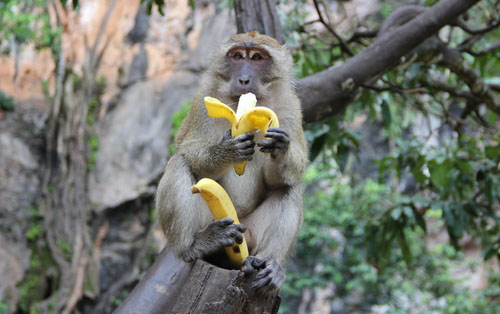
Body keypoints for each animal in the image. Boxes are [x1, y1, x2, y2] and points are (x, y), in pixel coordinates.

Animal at [156, 31, 306, 294]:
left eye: (257, 58)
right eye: (237, 56)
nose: (244, 79)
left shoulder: (290, 107)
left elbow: (283, 177)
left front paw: (282, 148)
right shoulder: (202, 99)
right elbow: (188, 149)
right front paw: (227, 150)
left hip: (252, 232)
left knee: (289, 187)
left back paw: (270, 264)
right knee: (179, 163)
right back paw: (195, 245)